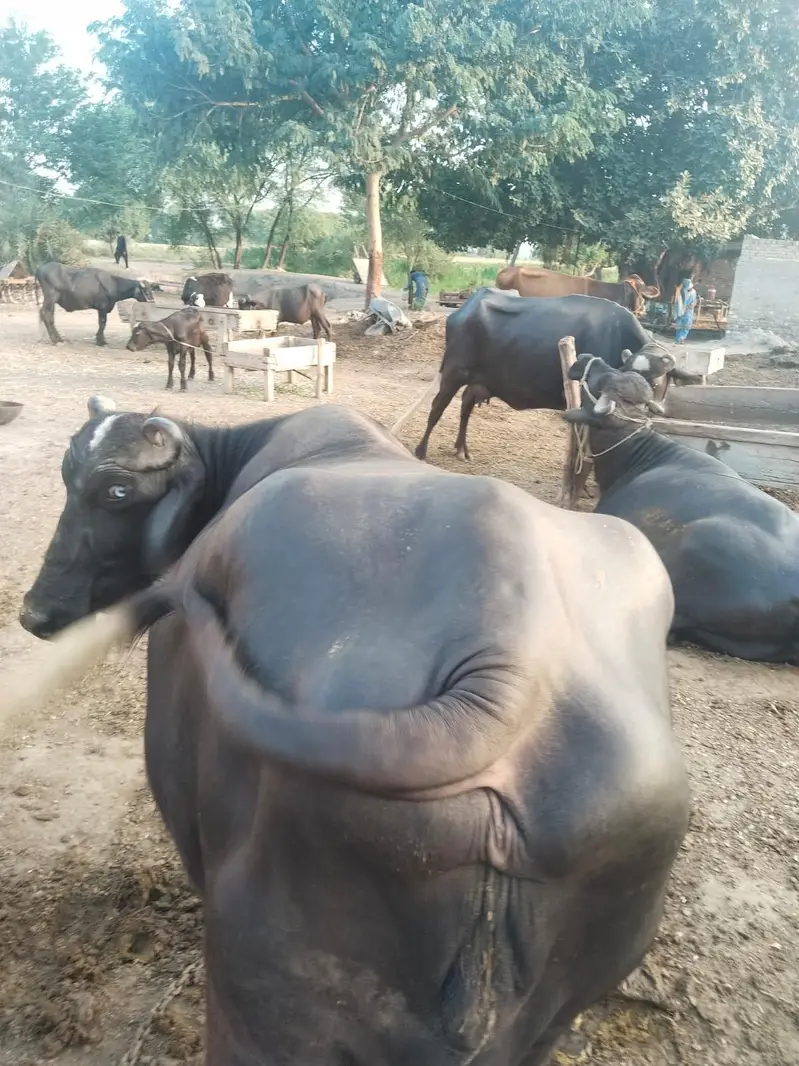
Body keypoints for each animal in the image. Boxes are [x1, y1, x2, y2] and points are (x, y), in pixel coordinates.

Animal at [18, 399, 688, 1066]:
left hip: (266, 998)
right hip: (560, 998)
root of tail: (511, 666)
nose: (34, 612)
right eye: (67, 476)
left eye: (116, 491)